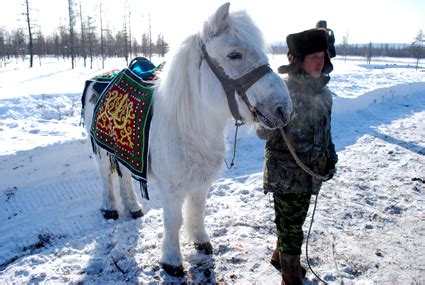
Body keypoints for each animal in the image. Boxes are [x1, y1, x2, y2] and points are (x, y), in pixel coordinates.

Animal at [83, 3, 292, 276]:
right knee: (106, 176)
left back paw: (134, 208)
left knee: (125, 177)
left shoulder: (201, 183)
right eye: (234, 54)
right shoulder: (172, 188)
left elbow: (197, 210)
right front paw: (172, 262)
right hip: (101, 151)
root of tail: (101, 77)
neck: (189, 128)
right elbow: (174, 221)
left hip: (121, 151)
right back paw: (110, 209)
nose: (283, 108)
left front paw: (201, 241)